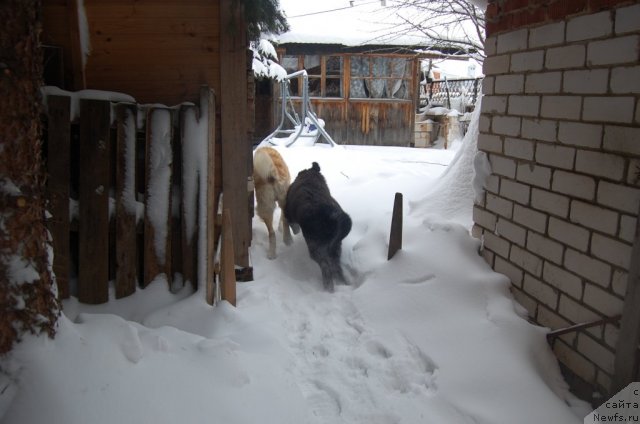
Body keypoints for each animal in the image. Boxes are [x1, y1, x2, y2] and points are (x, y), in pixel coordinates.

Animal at [286, 162, 352, 292]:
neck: (310, 178)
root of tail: (333, 216)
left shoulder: (289, 216)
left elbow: (294, 227)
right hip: (336, 247)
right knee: (337, 268)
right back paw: (342, 285)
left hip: (316, 248)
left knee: (326, 267)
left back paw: (328, 288)